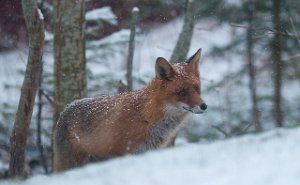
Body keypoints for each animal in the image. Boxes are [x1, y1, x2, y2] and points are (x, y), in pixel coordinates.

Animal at [53, 48, 206, 172]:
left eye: (197, 89)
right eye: (182, 92)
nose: (204, 106)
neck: (147, 116)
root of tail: (66, 109)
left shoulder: (144, 153)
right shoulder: (121, 154)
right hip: (72, 163)